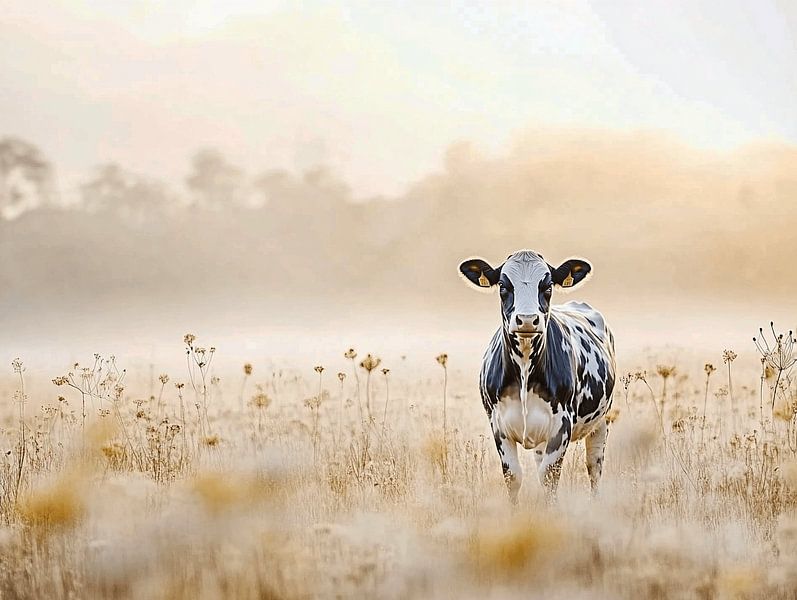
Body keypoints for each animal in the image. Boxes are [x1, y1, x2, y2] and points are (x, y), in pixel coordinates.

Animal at [459, 250, 615, 502]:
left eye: (548, 285)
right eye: (503, 285)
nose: (526, 320)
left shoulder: (561, 426)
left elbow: (549, 477)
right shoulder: (499, 426)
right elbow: (513, 477)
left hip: (601, 422)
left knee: (594, 467)